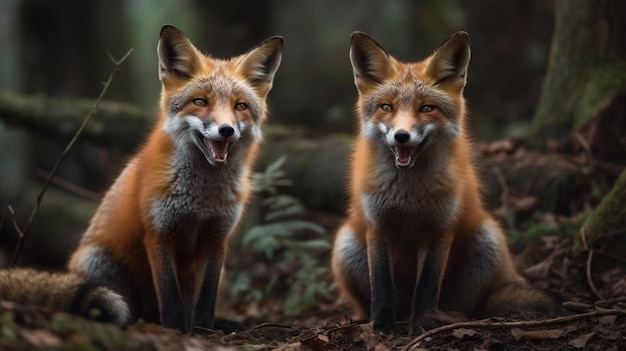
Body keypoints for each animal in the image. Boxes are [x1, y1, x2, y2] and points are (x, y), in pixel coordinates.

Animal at [332, 31, 556, 336]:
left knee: (469, 307)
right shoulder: (378, 226)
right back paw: (368, 319)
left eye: (427, 108)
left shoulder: (439, 227)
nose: (402, 136)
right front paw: (381, 326)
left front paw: (421, 326)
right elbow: (381, 286)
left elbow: (427, 286)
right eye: (386, 107)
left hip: (486, 240)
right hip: (346, 244)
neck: (409, 196)